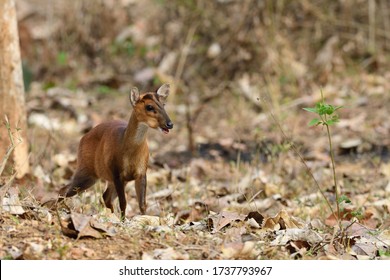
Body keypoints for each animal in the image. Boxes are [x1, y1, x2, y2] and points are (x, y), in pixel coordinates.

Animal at [59, 84, 172, 220]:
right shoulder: (116, 171)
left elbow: (142, 204)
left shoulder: (141, 172)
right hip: (86, 171)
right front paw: (123, 221)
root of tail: (83, 138)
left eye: (164, 104)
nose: (169, 124)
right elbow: (123, 202)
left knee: (105, 197)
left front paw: (143, 218)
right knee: (63, 190)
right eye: (149, 107)